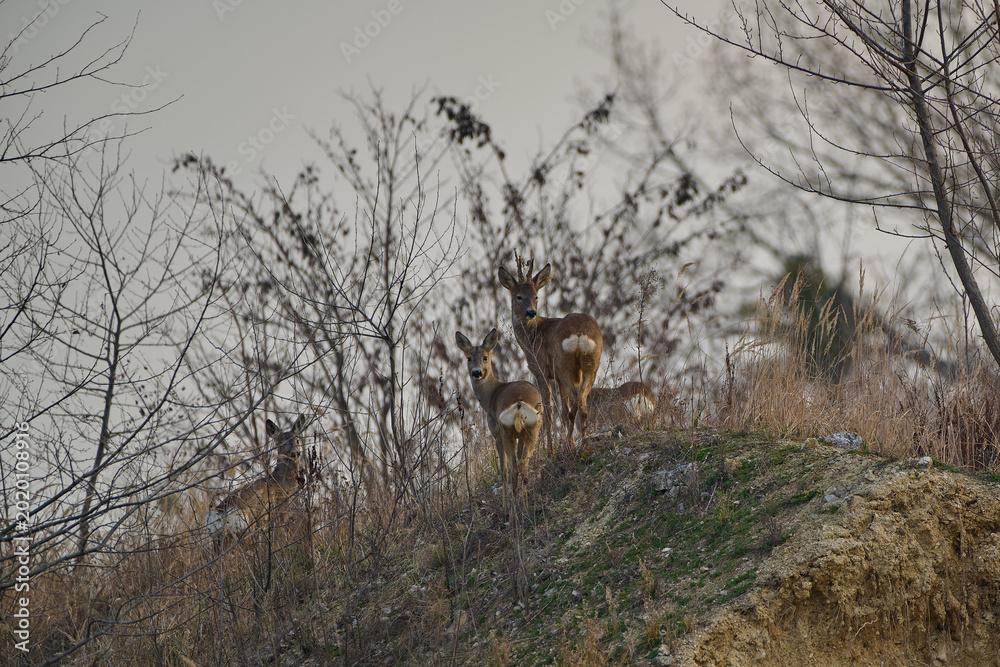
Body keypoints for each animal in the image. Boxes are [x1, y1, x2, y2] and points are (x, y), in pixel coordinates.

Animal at [205, 414, 307, 553]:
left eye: (297, 440)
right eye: (282, 442)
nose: (295, 453)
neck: (282, 482)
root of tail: (218, 516)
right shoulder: (280, 510)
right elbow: (281, 536)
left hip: (221, 537)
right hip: (246, 525)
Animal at [456, 328, 543, 508]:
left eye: (485, 357)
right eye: (468, 358)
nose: (476, 372)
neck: (491, 395)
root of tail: (519, 405)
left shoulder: (496, 433)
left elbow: (503, 470)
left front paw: (504, 503)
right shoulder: (520, 436)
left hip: (505, 430)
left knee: (511, 468)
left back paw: (513, 507)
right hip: (533, 428)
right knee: (523, 463)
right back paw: (525, 503)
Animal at [498, 257, 603, 454]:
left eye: (536, 296)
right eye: (519, 296)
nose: (531, 312)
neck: (531, 337)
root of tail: (580, 333)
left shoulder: (540, 370)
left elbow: (547, 411)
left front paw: (551, 451)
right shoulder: (558, 379)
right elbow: (562, 410)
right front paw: (568, 444)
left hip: (564, 365)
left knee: (575, 400)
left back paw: (571, 444)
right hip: (591, 363)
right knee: (582, 401)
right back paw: (584, 443)